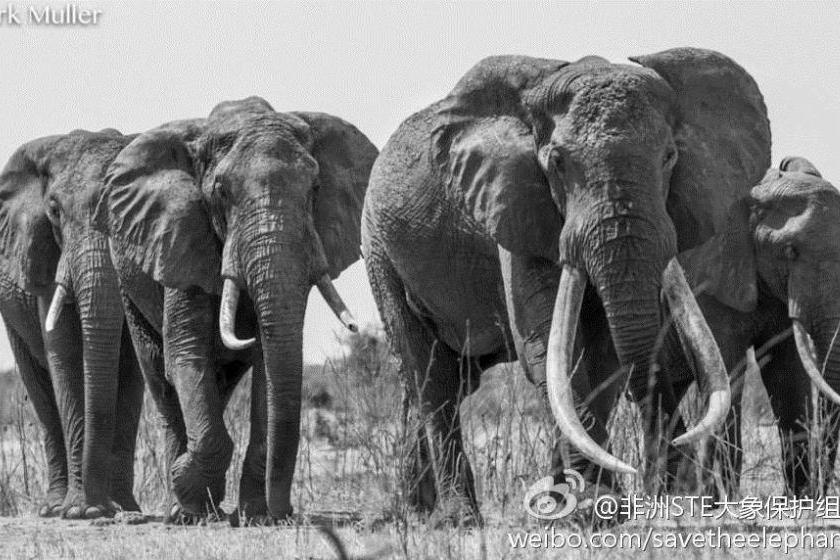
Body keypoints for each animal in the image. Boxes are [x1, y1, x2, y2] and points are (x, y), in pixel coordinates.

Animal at [0, 129, 144, 518]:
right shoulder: (45, 256)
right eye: (53, 212)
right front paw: (82, 511)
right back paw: (52, 508)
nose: (99, 507)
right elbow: (63, 354)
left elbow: (130, 369)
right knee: (41, 394)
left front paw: (123, 509)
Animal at [93, 97, 378, 523]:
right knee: (162, 380)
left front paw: (255, 515)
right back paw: (184, 510)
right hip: (129, 283)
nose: (284, 512)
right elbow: (186, 354)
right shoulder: (180, 236)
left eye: (314, 189)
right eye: (222, 192)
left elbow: (268, 367)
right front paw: (188, 488)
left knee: (219, 383)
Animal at [361, 47, 770, 520]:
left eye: (669, 157)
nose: (678, 485)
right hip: (380, 249)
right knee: (432, 378)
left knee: (448, 380)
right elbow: (548, 347)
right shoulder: (515, 203)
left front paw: (577, 504)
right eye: (557, 162)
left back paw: (419, 515)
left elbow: (604, 360)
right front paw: (593, 508)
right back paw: (456, 519)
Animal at [660, 157, 840, 498]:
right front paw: (718, 503)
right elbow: (727, 376)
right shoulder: (706, 282)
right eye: (790, 251)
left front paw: (798, 500)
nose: (821, 493)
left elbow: (787, 378)